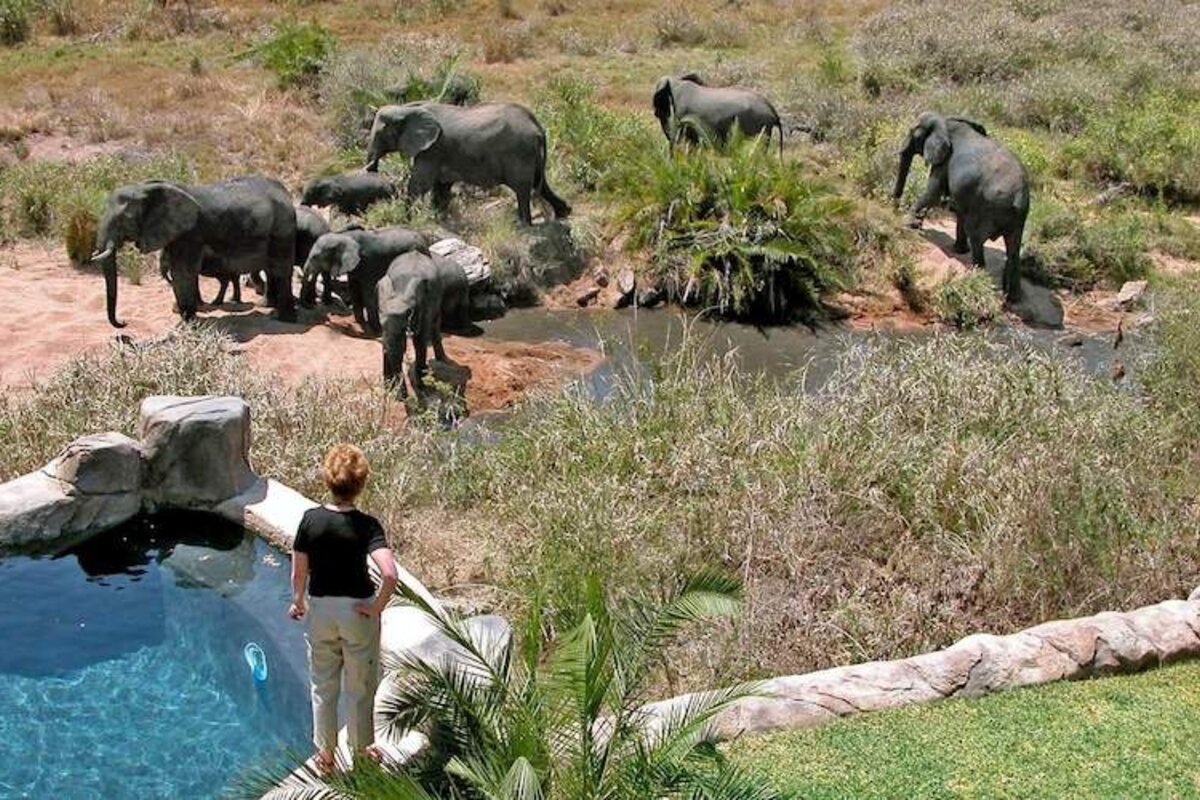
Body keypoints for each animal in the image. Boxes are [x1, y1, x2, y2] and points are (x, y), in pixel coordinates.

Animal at [92, 176, 297, 327]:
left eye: (125, 220)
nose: (124, 323)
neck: (147, 188)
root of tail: (285, 192)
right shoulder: (175, 231)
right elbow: (178, 271)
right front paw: (186, 319)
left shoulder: (191, 232)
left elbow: (182, 272)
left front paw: (189, 322)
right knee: (272, 270)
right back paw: (269, 308)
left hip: (282, 228)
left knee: (281, 270)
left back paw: (284, 319)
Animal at [301, 226, 431, 333]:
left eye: (315, 257)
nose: (309, 305)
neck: (342, 236)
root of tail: (424, 241)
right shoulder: (354, 267)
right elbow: (354, 288)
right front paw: (360, 322)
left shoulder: (369, 262)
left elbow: (368, 293)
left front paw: (376, 330)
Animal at [364, 101, 571, 226]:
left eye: (380, 134)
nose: (371, 169)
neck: (406, 108)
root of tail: (538, 127)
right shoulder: (439, 152)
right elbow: (441, 186)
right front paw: (439, 219)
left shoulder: (432, 149)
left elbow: (419, 184)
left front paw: (407, 221)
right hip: (531, 155)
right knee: (540, 184)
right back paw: (563, 214)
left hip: (520, 154)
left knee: (522, 189)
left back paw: (523, 225)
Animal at [377, 250, 470, 396]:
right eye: (380, 324)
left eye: (409, 313)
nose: (403, 396)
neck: (402, 290)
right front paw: (389, 388)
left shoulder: (426, 304)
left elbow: (419, 340)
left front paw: (423, 389)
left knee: (435, 324)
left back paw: (442, 360)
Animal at [893, 112, 1030, 301]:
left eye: (912, 132)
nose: (892, 207)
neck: (944, 120)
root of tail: (1019, 197)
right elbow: (958, 208)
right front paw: (958, 250)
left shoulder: (944, 161)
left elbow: (933, 193)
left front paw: (906, 223)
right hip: (1017, 219)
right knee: (1013, 250)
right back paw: (1013, 298)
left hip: (989, 208)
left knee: (977, 238)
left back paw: (976, 277)